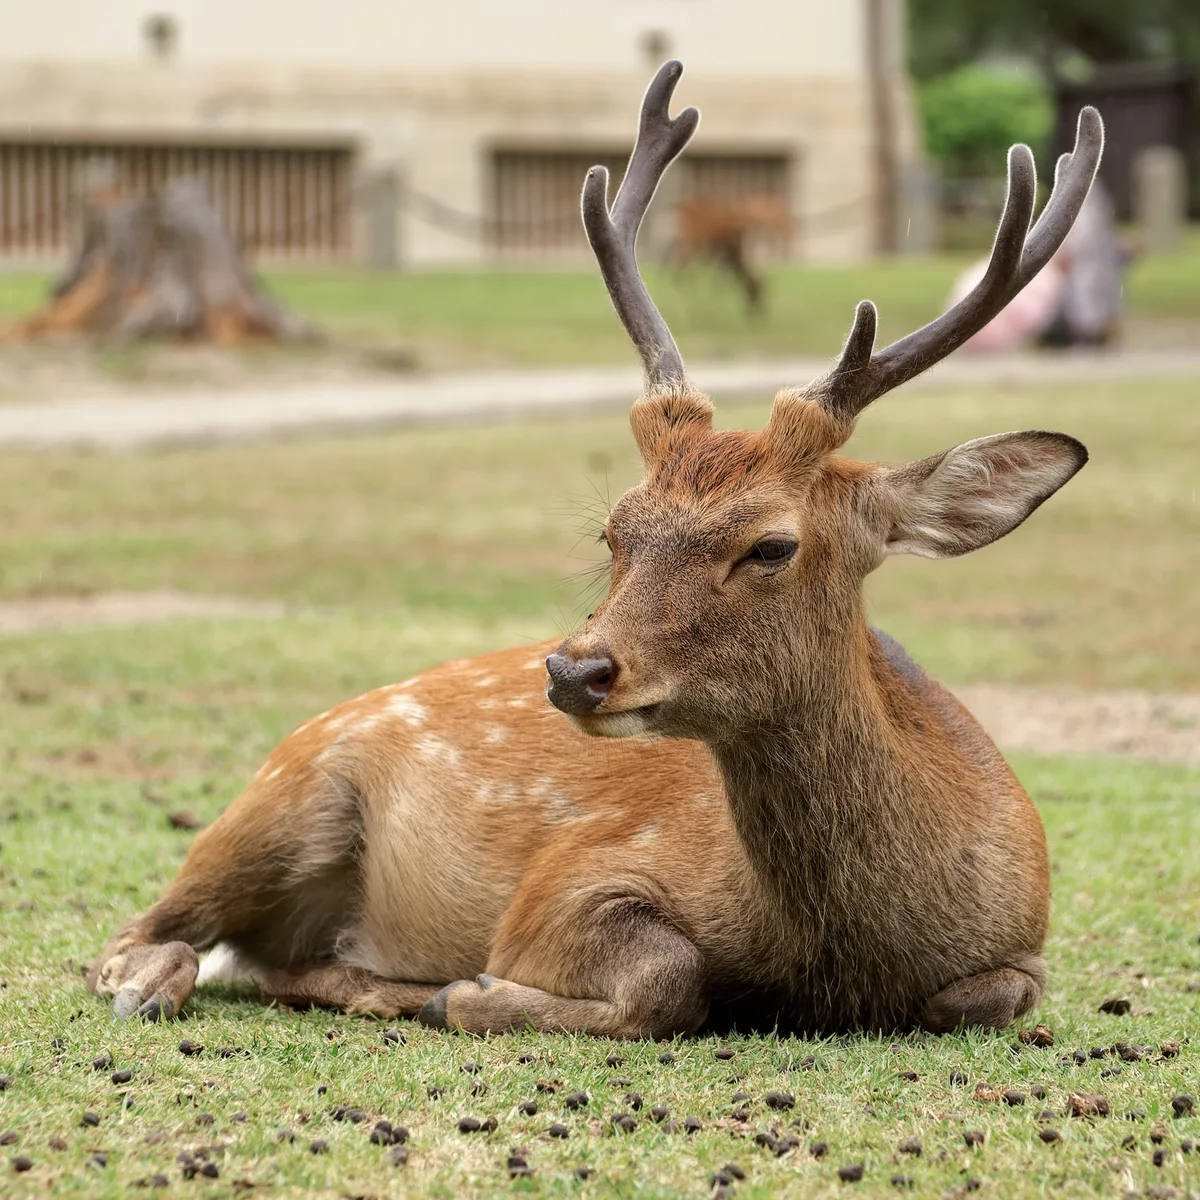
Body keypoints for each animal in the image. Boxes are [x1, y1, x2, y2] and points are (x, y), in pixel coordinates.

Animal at [88, 63, 1102, 1039]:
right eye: (615, 529)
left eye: (772, 545)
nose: (574, 670)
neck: (839, 961)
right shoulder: (568, 881)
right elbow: (671, 976)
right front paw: (465, 994)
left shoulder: (1027, 939)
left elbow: (985, 996)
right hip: (286, 798)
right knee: (141, 935)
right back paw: (182, 985)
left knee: (259, 962)